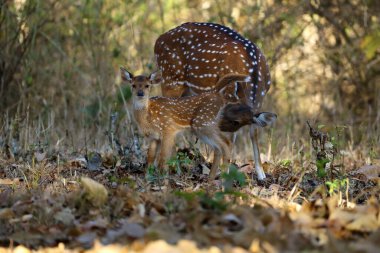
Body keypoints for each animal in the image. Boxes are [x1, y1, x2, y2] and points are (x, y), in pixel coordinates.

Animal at [120, 67, 274, 178]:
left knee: (225, 144)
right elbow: (150, 157)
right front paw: (147, 177)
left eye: (147, 85)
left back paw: (221, 177)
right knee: (220, 147)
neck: (148, 117)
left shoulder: (168, 129)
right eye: (133, 85)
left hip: (202, 123)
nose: (140, 93)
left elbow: (163, 158)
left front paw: (162, 178)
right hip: (206, 125)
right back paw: (212, 178)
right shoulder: (154, 136)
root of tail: (216, 93)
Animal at [154, 22, 274, 180]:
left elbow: (253, 132)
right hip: (170, 80)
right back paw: (173, 168)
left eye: (235, 122)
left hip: (186, 90)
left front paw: (261, 174)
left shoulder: (259, 101)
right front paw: (225, 171)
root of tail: (158, 40)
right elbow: (232, 139)